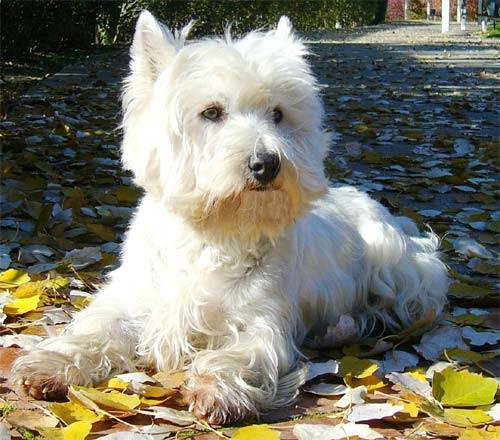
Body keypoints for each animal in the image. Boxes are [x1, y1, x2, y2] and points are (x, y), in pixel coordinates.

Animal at [12, 10, 450, 422]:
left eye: (278, 114)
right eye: (211, 112)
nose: (266, 164)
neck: (212, 234)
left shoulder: (263, 322)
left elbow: (238, 354)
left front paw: (215, 390)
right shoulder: (132, 299)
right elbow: (93, 329)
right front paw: (49, 364)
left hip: (399, 265)